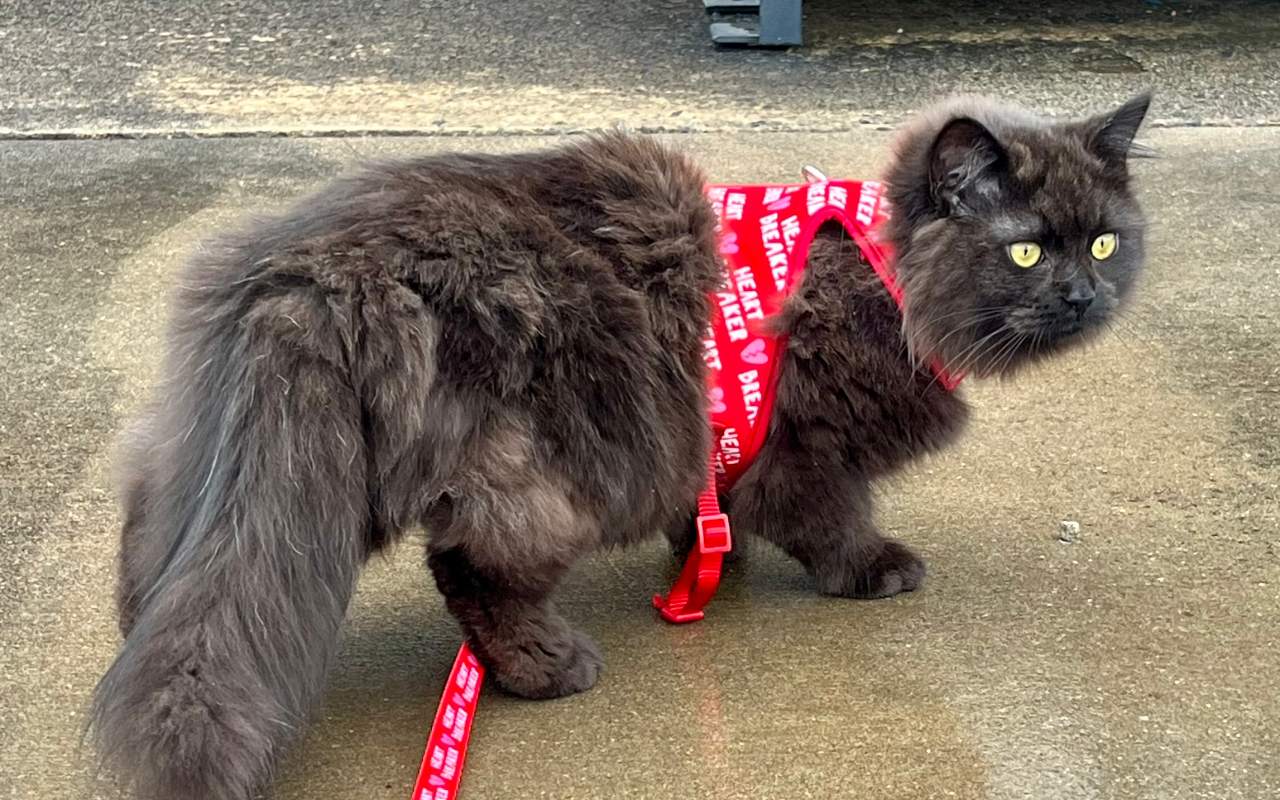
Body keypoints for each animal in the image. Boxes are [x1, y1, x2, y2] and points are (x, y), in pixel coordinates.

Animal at [87, 95, 1152, 798]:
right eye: (1026, 249)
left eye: (1104, 243)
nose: (1084, 295)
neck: (881, 267)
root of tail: (310, 267)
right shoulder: (805, 441)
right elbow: (828, 515)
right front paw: (870, 570)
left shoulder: (718, 436)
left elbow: (712, 501)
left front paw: (707, 562)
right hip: (537, 471)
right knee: (472, 572)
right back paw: (547, 670)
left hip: (222, 452)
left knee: (159, 543)